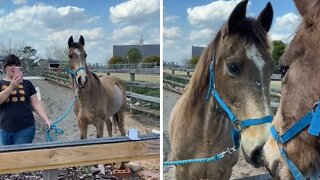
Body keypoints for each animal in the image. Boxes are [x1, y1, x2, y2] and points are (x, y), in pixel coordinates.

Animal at [168, 0, 276, 179]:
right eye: (233, 67)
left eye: (272, 67)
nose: (263, 150)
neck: (207, 138)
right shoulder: (181, 172)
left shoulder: (225, 172)